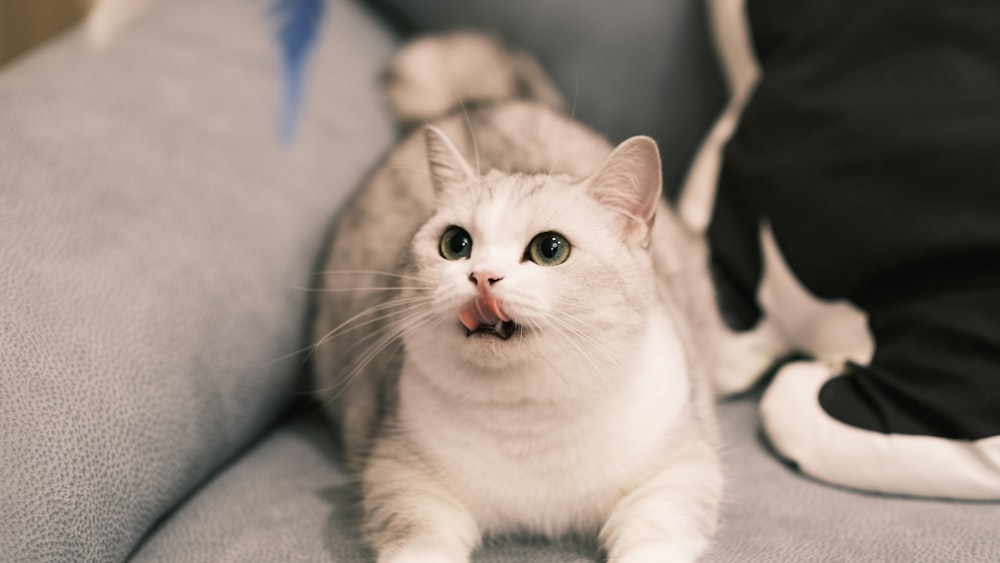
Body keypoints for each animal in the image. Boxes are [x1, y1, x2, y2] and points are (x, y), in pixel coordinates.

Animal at [308, 32, 724, 563]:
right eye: (455, 244)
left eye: (551, 249)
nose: (483, 276)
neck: (530, 416)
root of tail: (481, 103)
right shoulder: (401, 475)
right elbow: (422, 538)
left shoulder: (679, 471)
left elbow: (655, 533)